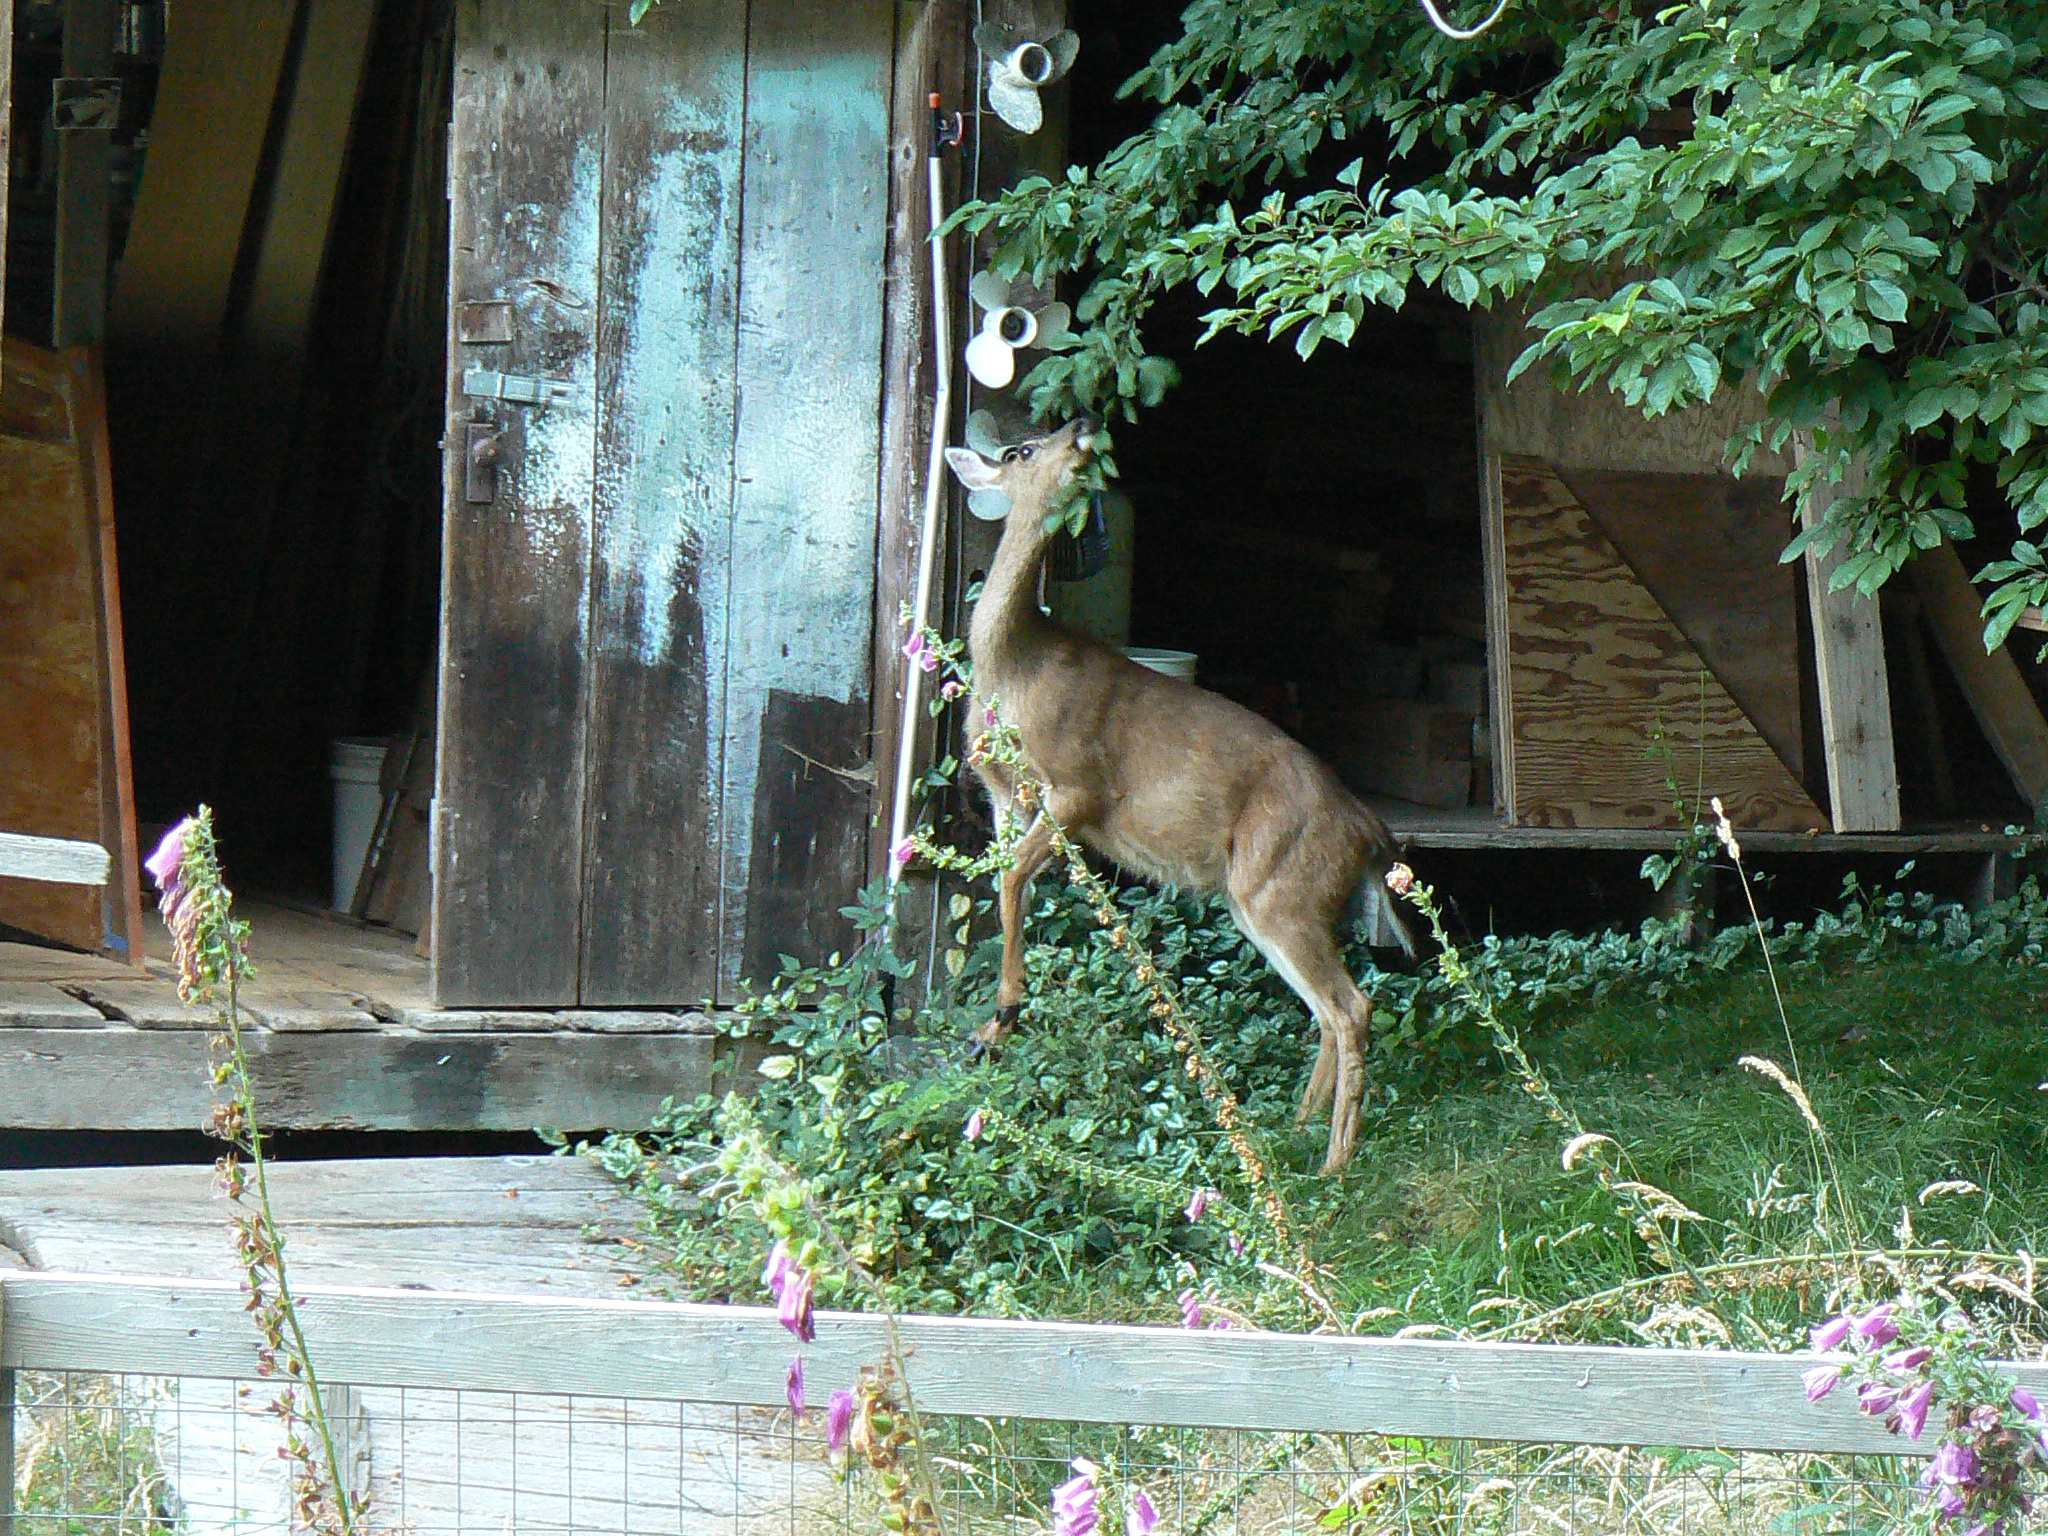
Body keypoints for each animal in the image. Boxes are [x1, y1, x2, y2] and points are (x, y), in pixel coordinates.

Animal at [943, 417, 1414, 1175]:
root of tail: (1372, 831)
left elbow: (1011, 881)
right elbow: (1010, 890)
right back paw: (1299, 1127)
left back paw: (1334, 1161)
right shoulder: (1006, 799)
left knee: (1353, 1006)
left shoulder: (1077, 786)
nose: (1084, 424)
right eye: (1019, 449)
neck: (1014, 669)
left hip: (1283, 889)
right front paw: (993, 1023)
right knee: (1327, 1006)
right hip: (1263, 900)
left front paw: (1005, 1014)